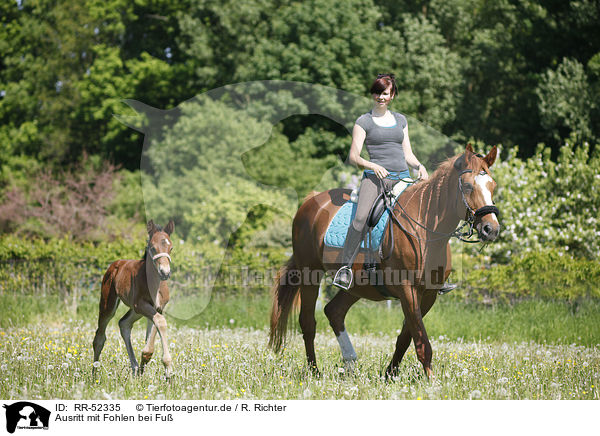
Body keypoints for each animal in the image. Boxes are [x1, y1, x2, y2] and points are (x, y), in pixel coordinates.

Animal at [92, 220, 175, 376]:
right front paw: (167, 369)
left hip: (135, 311)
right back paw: (94, 374)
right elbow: (160, 322)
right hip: (109, 305)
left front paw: (152, 366)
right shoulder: (140, 305)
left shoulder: (158, 308)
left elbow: (155, 327)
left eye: (171, 248)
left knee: (124, 323)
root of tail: (115, 264)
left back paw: (136, 368)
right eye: (152, 247)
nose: (165, 272)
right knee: (99, 338)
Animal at [270, 146, 500, 378]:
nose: (491, 229)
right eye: (468, 186)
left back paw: (350, 363)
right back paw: (315, 372)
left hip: (357, 285)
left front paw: (390, 374)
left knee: (334, 311)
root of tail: (311, 200)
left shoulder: (429, 294)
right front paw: (431, 380)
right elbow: (422, 341)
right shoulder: (408, 291)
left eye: (493, 186)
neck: (425, 230)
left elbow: (407, 337)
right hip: (310, 274)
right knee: (308, 322)